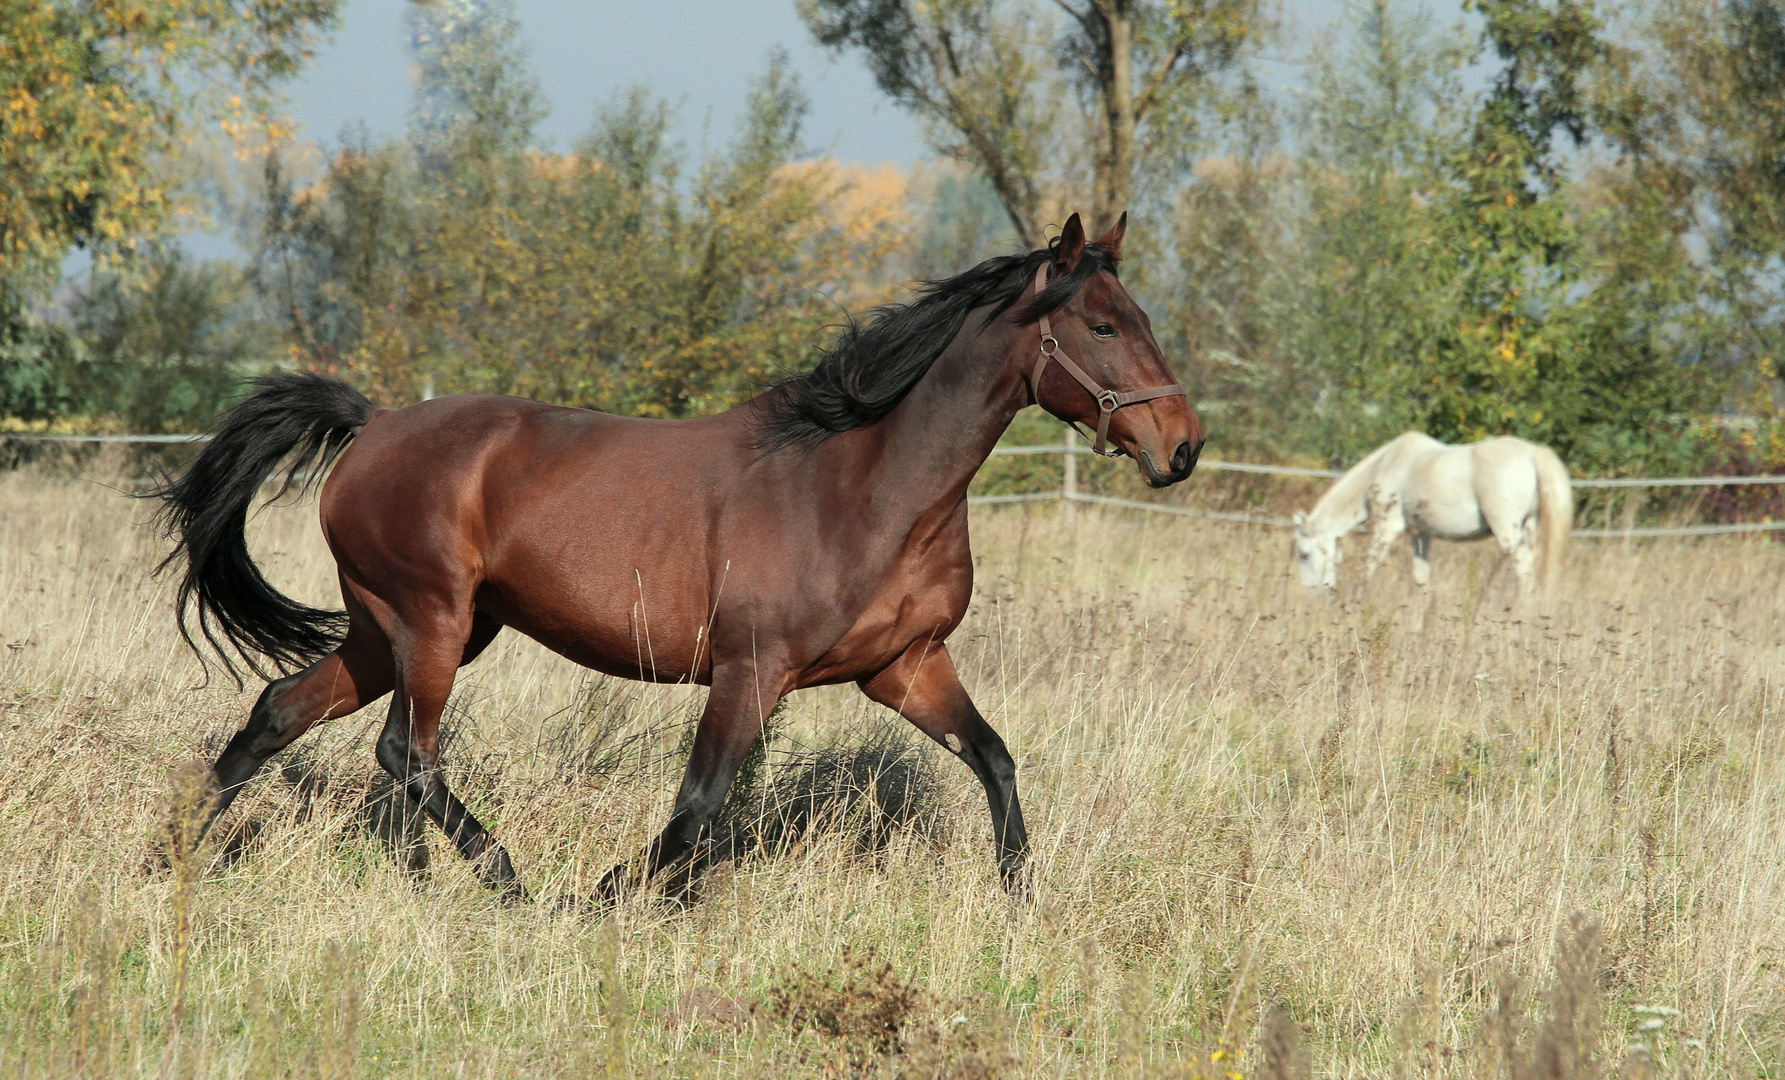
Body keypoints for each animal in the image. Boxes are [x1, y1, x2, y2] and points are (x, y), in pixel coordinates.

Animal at [153, 212, 1206, 899]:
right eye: (1102, 325)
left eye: (1144, 318)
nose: (1182, 447)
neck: (865, 487)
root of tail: (371, 426)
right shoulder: (750, 669)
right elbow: (700, 802)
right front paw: (605, 898)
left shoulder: (907, 666)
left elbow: (993, 759)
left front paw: (1020, 900)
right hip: (431, 622)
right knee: (405, 753)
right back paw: (511, 882)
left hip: (400, 630)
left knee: (281, 711)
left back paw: (180, 853)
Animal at [1292, 432, 1570, 592]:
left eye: (1304, 555)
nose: (1311, 592)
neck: (1386, 465)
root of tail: (1534, 453)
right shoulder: (1420, 534)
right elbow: (1422, 580)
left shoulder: (1387, 529)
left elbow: (1369, 567)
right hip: (1528, 528)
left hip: (1508, 532)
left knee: (1524, 571)